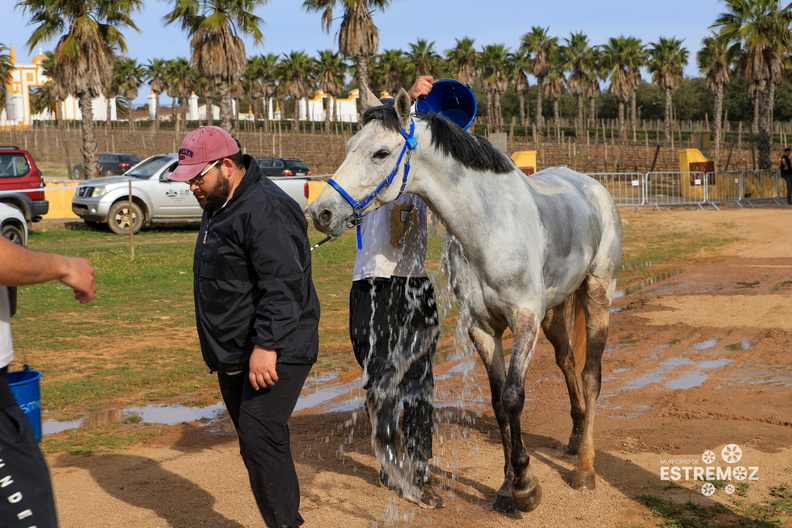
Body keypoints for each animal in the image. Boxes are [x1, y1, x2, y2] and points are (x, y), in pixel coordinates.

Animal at [306, 88, 620, 512]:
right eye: (349, 145)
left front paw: (525, 486)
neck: (492, 227)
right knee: (567, 361)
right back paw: (572, 438)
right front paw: (507, 485)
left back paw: (584, 470)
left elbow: (514, 396)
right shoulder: (482, 328)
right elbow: (498, 402)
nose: (320, 212)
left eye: (381, 153)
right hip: (554, 311)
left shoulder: (524, 318)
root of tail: (590, 185)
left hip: (597, 293)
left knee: (591, 376)